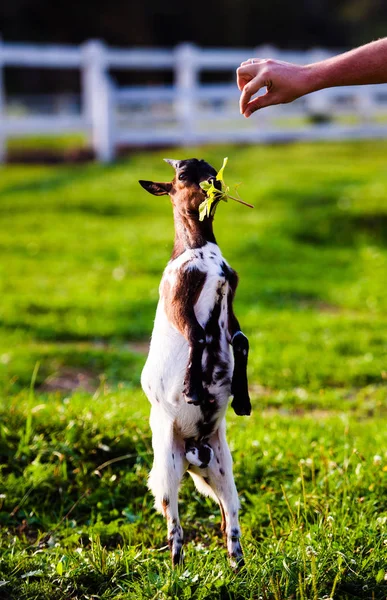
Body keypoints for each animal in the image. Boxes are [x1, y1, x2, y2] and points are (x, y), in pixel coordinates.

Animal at [139, 157, 252, 568]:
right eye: (183, 174)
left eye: (208, 165)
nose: (214, 181)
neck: (200, 252)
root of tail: (193, 453)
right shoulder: (178, 298)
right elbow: (197, 336)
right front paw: (192, 390)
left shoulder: (229, 301)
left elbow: (239, 340)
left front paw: (242, 400)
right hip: (166, 465)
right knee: (172, 515)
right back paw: (176, 564)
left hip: (221, 468)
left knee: (229, 514)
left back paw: (237, 563)